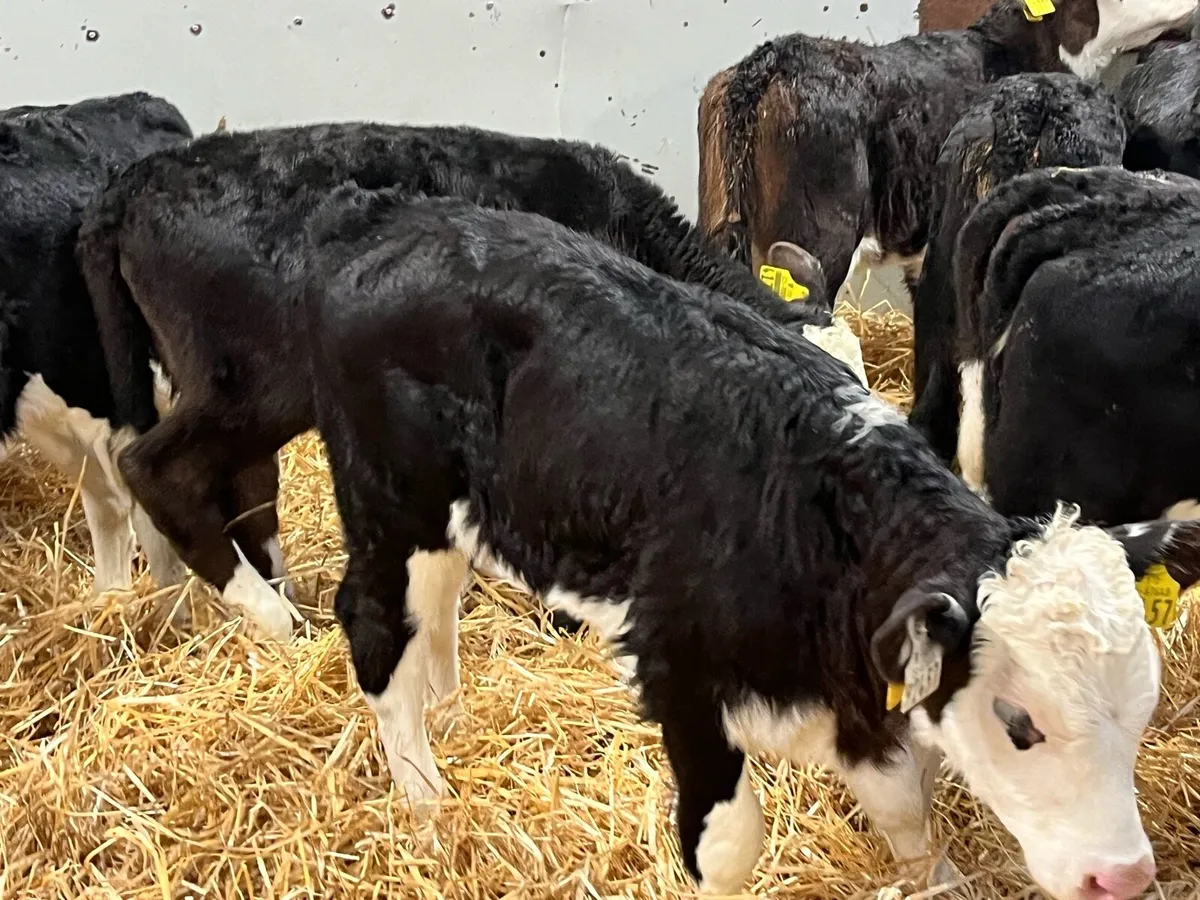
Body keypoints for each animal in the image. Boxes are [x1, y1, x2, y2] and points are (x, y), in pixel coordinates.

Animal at [75, 122, 833, 641]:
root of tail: (139, 180)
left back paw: (286, 600)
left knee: (244, 488)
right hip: (249, 384)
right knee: (158, 469)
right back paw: (273, 616)